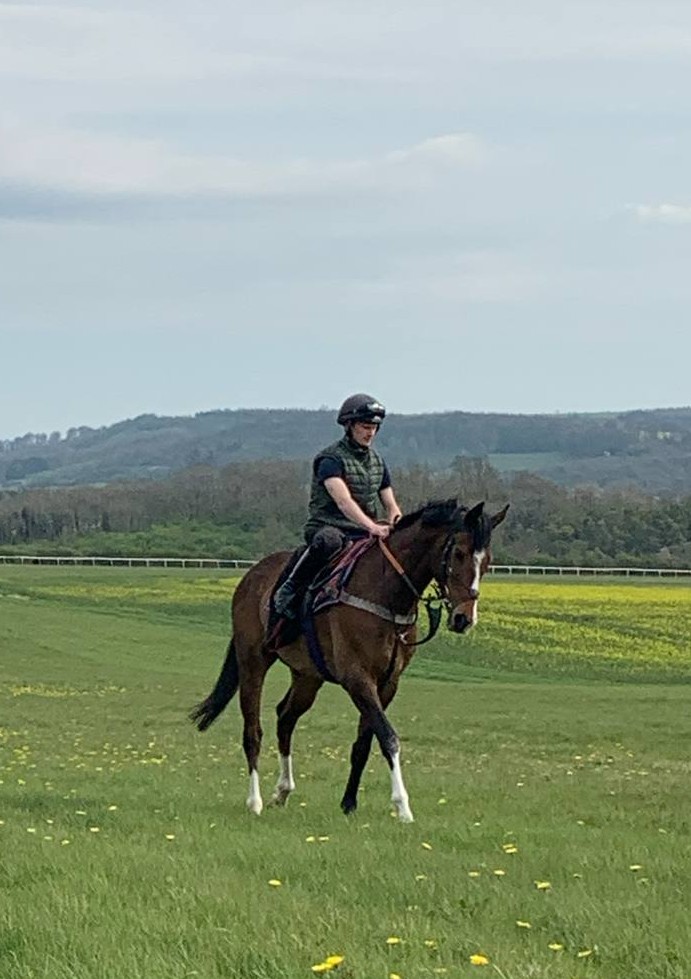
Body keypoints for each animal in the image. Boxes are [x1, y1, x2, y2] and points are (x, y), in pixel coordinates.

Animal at [191, 498, 508, 823]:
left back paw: (283, 790)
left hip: (307, 676)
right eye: (458, 553)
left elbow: (364, 743)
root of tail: (251, 576)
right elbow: (388, 737)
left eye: (487, 561)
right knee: (252, 731)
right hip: (253, 661)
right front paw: (403, 807)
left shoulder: (387, 684)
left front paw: (349, 803)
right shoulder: (357, 679)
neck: (386, 594)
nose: (463, 619)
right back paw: (254, 801)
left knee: (285, 716)